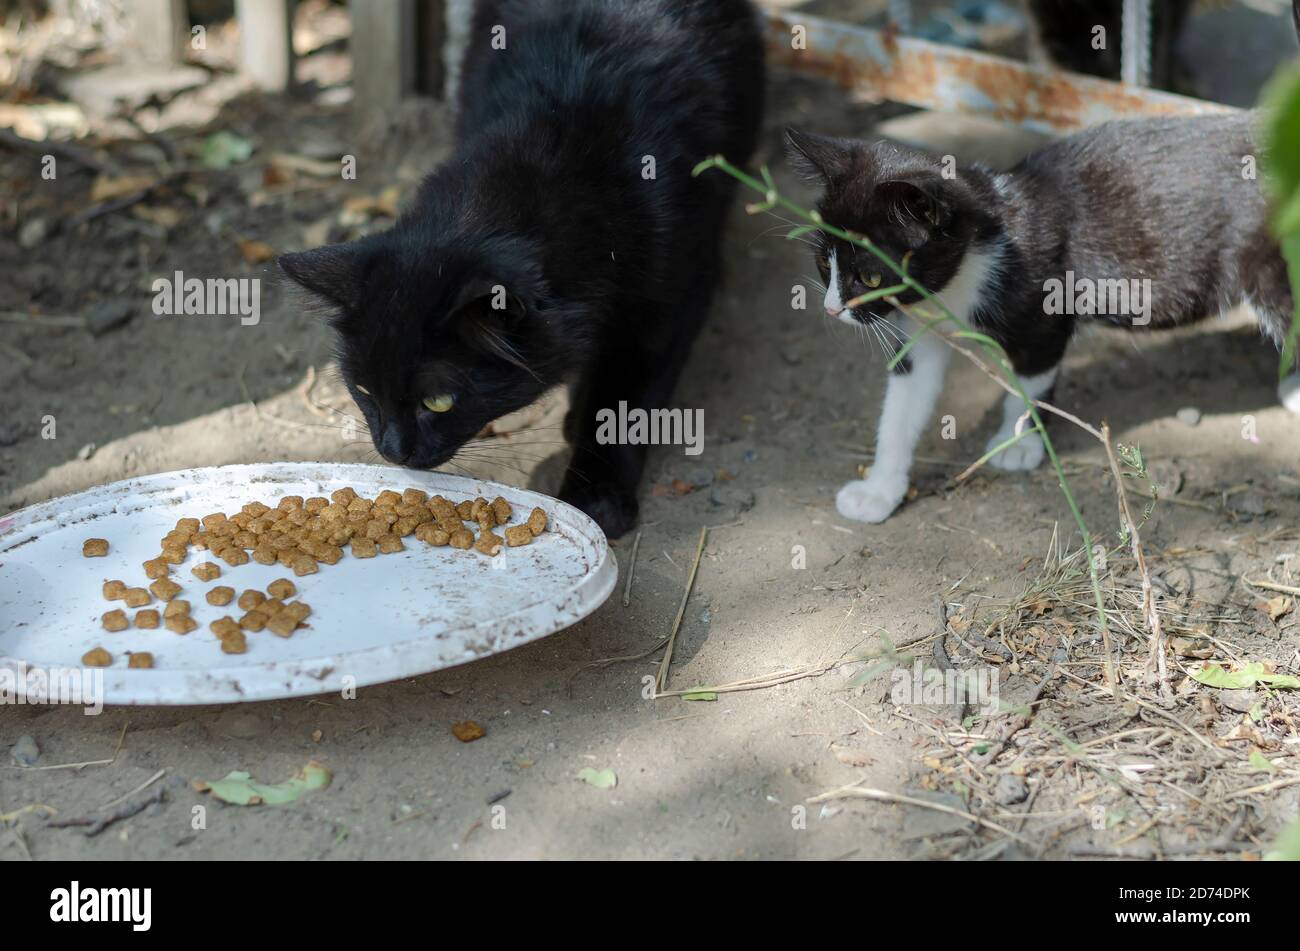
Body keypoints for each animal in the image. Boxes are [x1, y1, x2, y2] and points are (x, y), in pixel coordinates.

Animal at [275, 0, 759, 535]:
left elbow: (628, 398)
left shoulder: (675, 291)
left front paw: (598, 496)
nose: (393, 451)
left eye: (438, 401)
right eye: (362, 390)